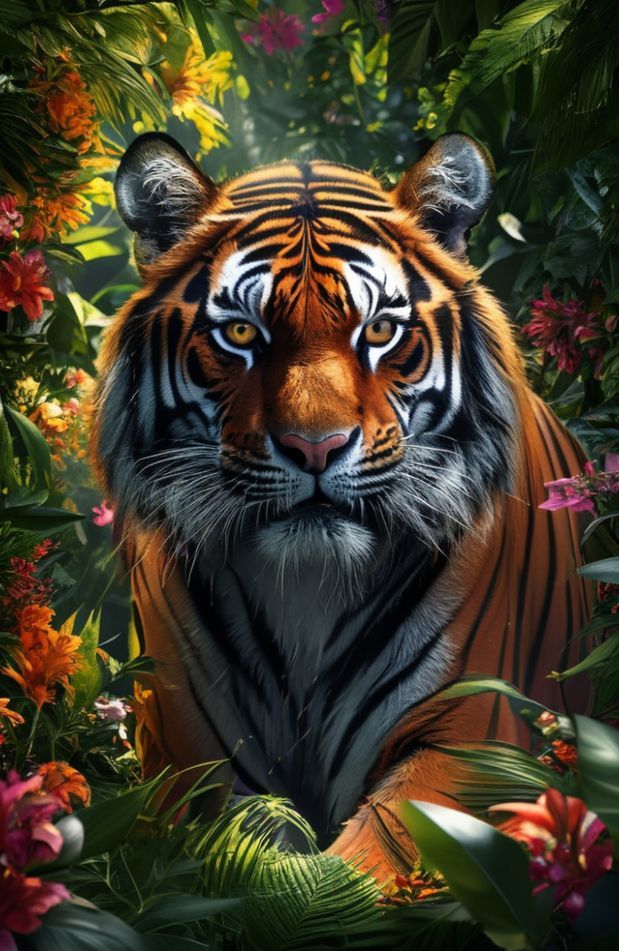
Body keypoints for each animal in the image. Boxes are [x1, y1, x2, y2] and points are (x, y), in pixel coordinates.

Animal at [90, 131, 591, 879]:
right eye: (242, 335)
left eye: (379, 330)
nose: (315, 446)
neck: (306, 592)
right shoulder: (191, 757)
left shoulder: (469, 737)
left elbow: (351, 873)